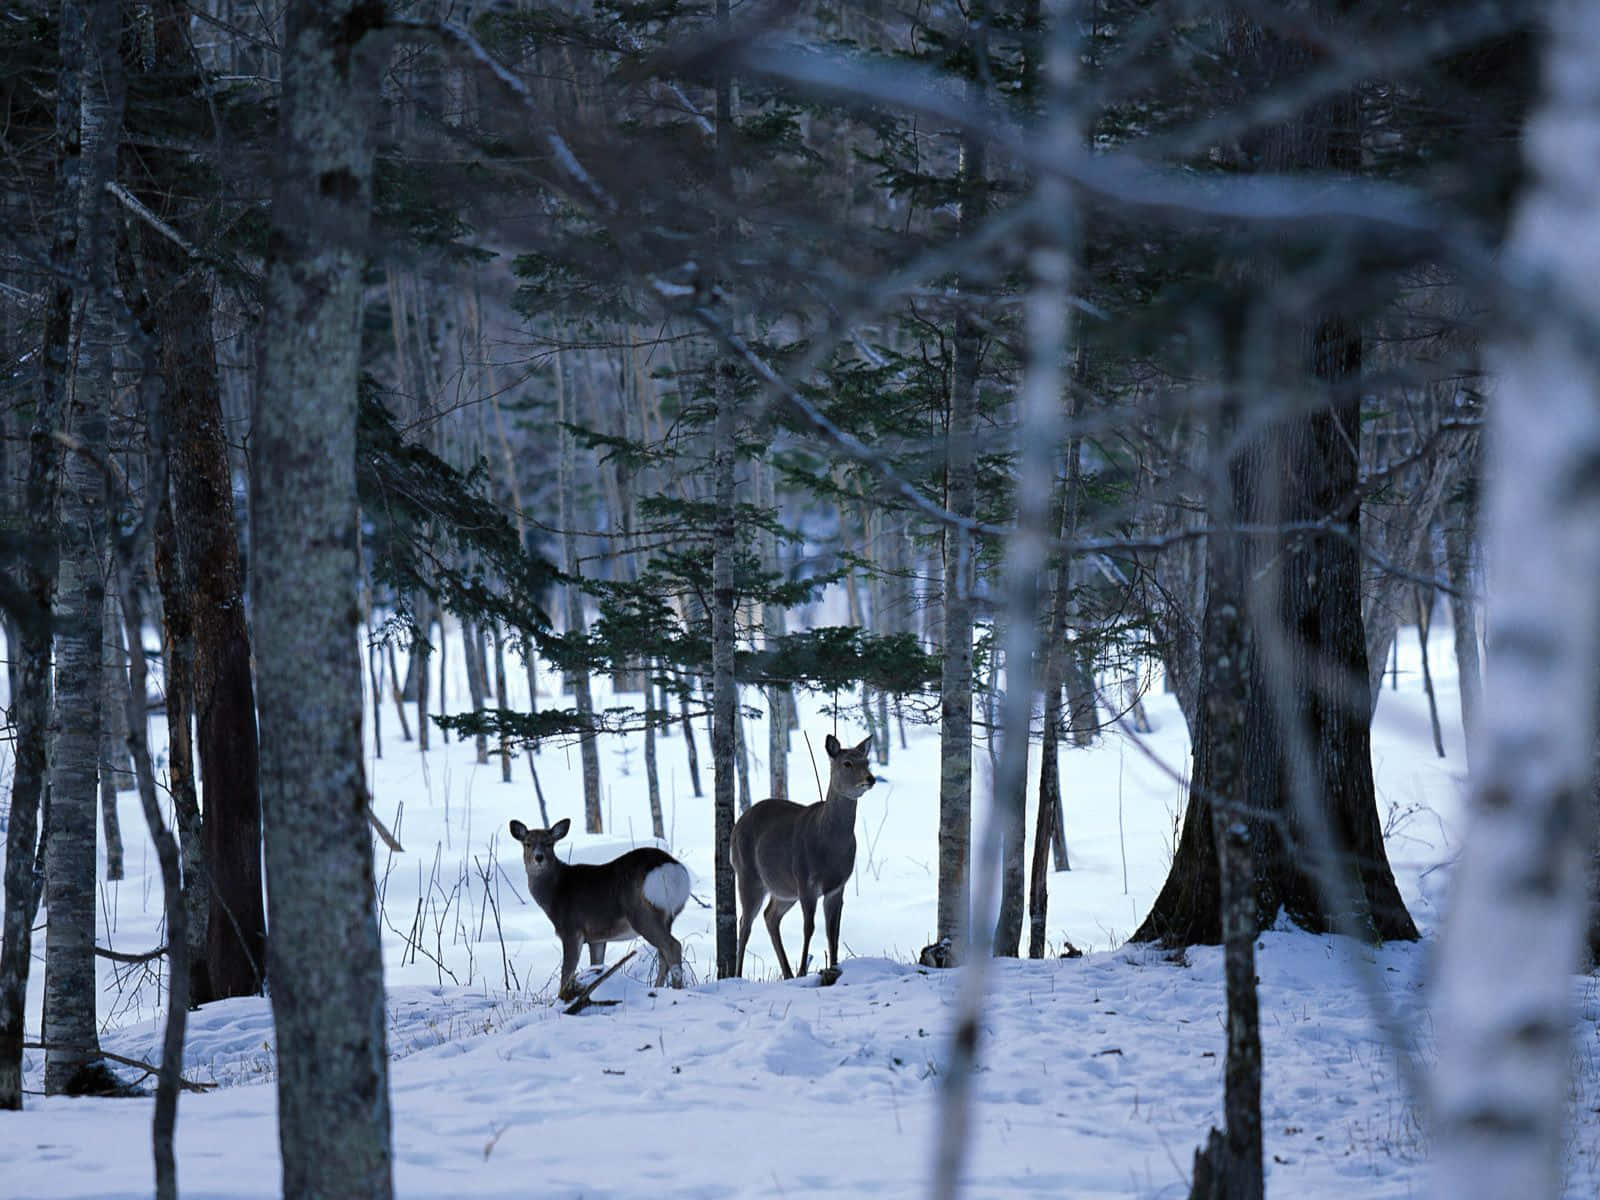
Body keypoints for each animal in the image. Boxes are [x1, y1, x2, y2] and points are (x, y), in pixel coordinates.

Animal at [508, 819, 691, 1004]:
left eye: (549, 843)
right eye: (527, 843)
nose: (539, 857)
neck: (555, 893)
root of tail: (672, 870)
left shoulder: (571, 930)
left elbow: (567, 972)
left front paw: (562, 1000)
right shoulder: (597, 937)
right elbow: (596, 966)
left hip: (642, 914)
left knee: (672, 946)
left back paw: (678, 992)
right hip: (667, 917)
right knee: (663, 954)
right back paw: (658, 990)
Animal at [732, 739, 876, 979]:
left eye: (866, 761)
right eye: (847, 763)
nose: (870, 778)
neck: (830, 846)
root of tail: (737, 824)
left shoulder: (838, 886)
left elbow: (833, 930)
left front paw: (834, 967)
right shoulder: (805, 880)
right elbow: (809, 927)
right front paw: (802, 971)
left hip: (784, 889)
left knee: (770, 916)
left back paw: (787, 973)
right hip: (747, 874)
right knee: (745, 922)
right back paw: (737, 974)